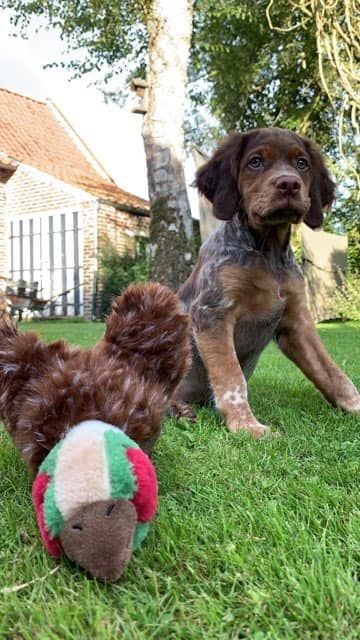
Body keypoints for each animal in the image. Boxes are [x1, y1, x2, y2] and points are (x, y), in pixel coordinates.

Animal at [177, 126, 360, 436]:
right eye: (255, 162)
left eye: (302, 163)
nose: (289, 184)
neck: (268, 252)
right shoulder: (212, 314)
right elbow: (231, 378)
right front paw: (247, 426)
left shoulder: (296, 323)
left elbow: (333, 372)